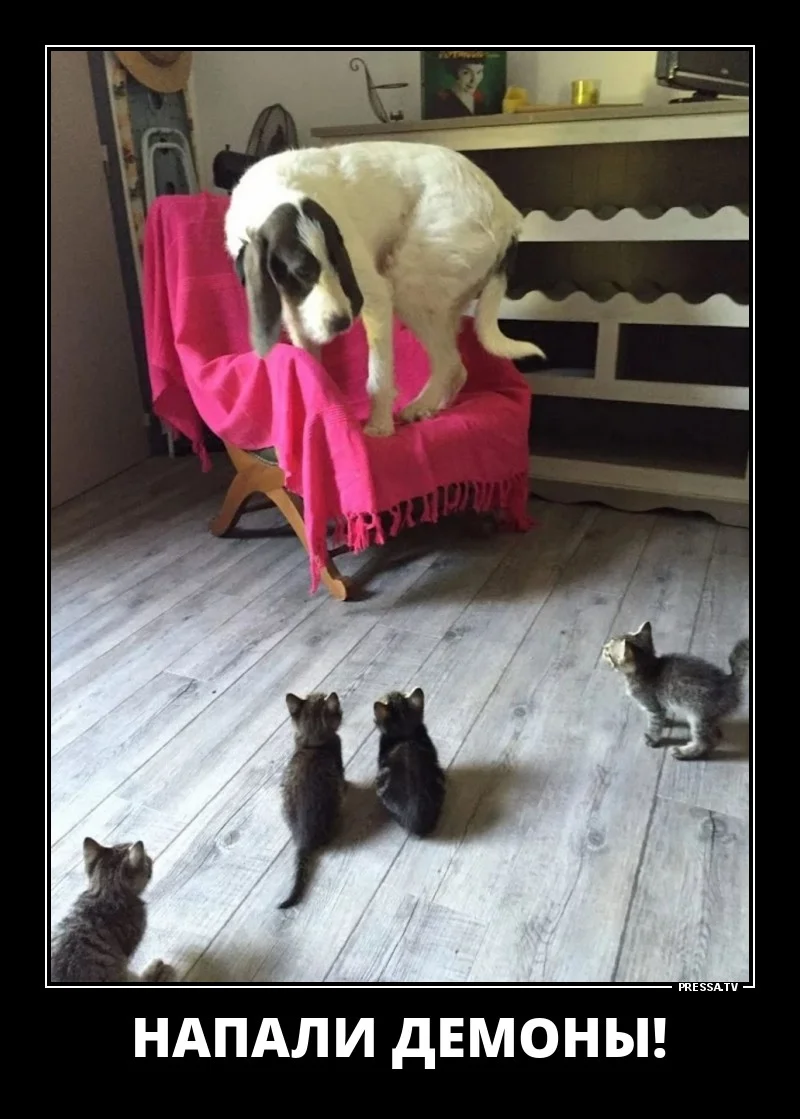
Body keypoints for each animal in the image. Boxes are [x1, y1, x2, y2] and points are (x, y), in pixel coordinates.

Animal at [225, 141, 543, 437]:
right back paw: (432, 406)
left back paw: (419, 406)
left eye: (339, 264)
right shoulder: (297, 314)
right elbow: (311, 366)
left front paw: (379, 427)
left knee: (449, 362)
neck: (278, 190)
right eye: (301, 272)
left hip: (409, 285)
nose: (341, 323)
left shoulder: (375, 296)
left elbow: (377, 377)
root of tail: (509, 220)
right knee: (456, 366)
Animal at [602, 621, 750, 759]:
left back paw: (683, 752)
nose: (603, 648)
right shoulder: (660, 706)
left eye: (608, 653)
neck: (647, 666)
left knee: (705, 743)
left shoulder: (653, 706)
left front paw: (653, 738)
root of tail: (729, 680)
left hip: (698, 716)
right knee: (715, 736)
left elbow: (655, 724)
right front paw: (666, 721)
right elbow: (662, 714)